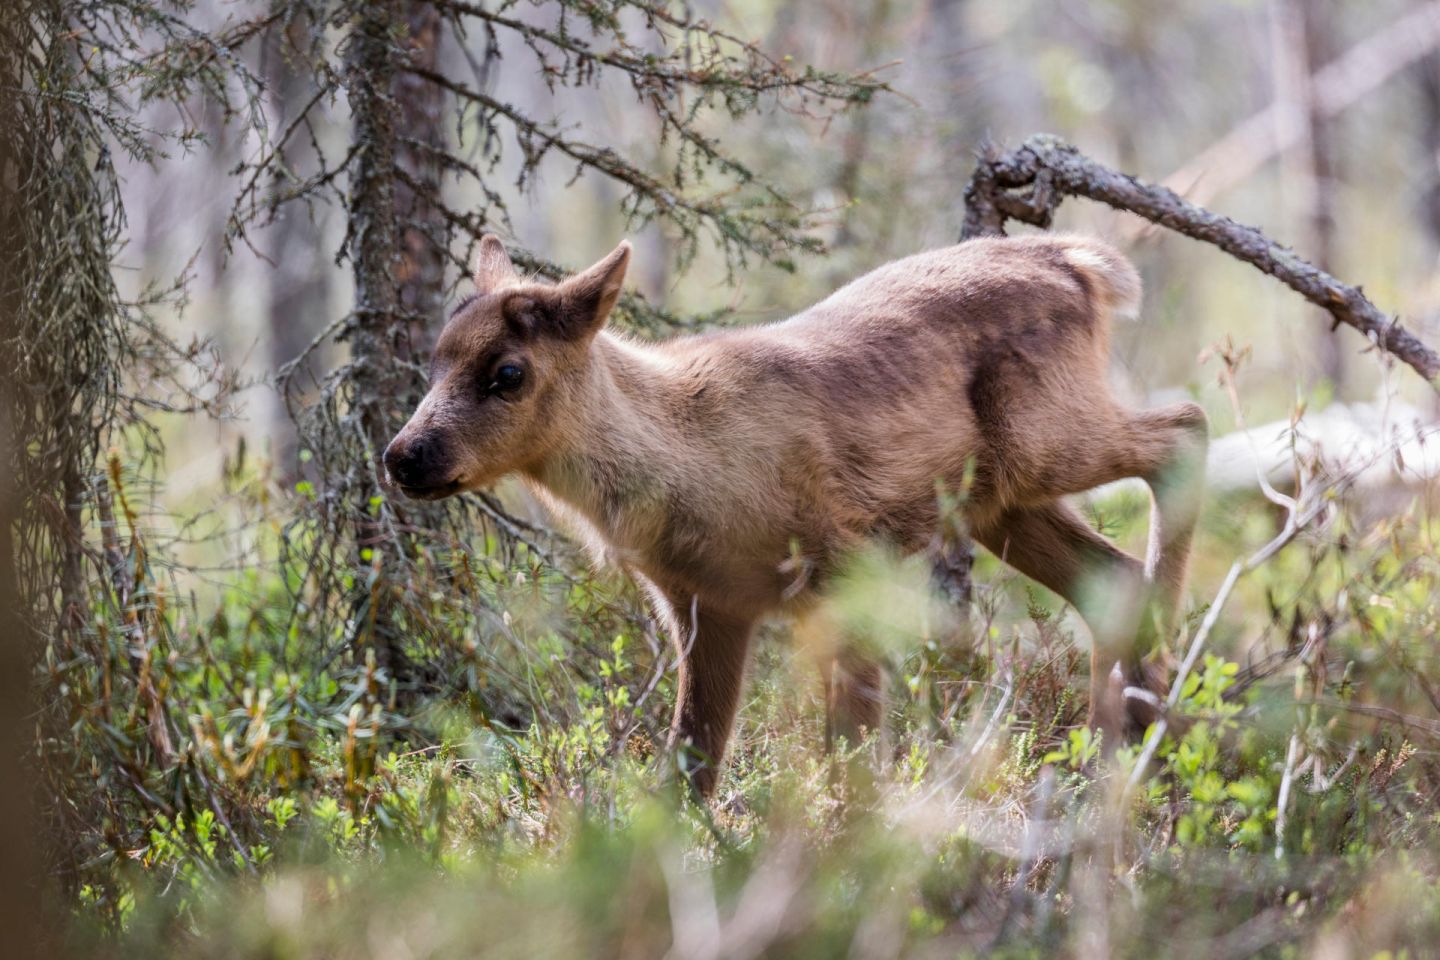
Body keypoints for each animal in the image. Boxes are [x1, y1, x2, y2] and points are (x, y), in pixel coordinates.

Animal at [388, 233, 1209, 794]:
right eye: (434, 360)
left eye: (508, 372)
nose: (402, 455)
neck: (685, 468)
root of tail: (1082, 261)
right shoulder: (706, 606)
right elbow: (691, 769)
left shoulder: (843, 561)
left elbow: (853, 747)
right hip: (999, 503)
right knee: (1113, 574)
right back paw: (1125, 742)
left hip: (1047, 442)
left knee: (1184, 428)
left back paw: (1154, 697)